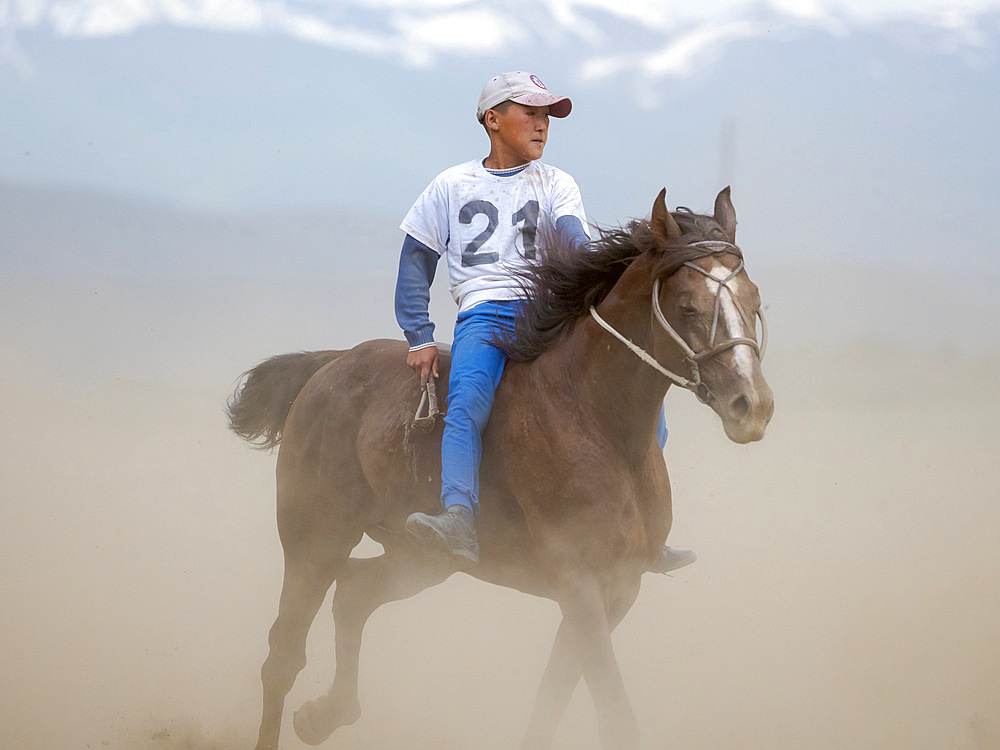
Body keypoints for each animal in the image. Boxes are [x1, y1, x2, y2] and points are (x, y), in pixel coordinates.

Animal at [227, 187, 772, 750]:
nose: (751, 405)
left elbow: (551, 701)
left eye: (754, 302)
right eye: (687, 307)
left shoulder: (616, 590)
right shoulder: (580, 585)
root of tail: (330, 367)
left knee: (355, 594)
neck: (594, 419)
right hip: (315, 542)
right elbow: (614, 713)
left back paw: (323, 715)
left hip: (421, 557)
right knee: (283, 655)